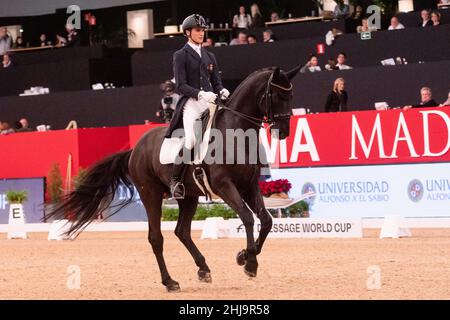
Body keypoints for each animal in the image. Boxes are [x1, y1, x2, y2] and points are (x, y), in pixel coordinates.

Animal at [46, 66, 298, 292]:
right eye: (277, 96)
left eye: (291, 96)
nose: (284, 130)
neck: (235, 134)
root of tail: (136, 149)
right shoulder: (224, 186)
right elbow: (247, 217)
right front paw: (249, 262)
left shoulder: (249, 185)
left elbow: (266, 220)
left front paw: (245, 257)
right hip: (150, 193)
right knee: (156, 238)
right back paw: (170, 282)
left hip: (188, 196)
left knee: (181, 231)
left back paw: (203, 269)